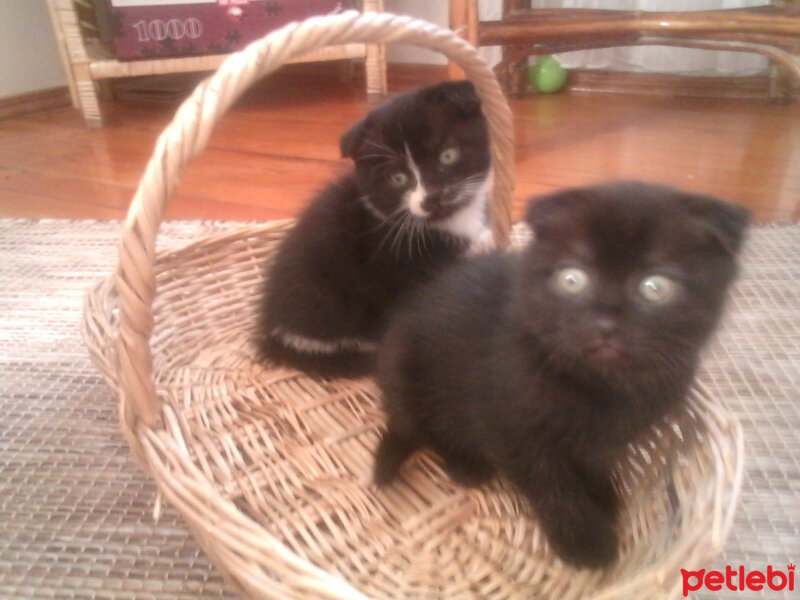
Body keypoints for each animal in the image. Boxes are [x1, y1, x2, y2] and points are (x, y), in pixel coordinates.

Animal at [376, 182, 752, 568]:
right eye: (572, 279)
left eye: (655, 287)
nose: (605, 323)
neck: (600, 385)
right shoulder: (510, 428)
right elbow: (550, 482)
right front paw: (583, 538)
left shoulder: (611, 436)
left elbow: (593, 459)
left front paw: (603, 493)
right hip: (406, 371)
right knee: (424, 428)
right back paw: (465, 463)